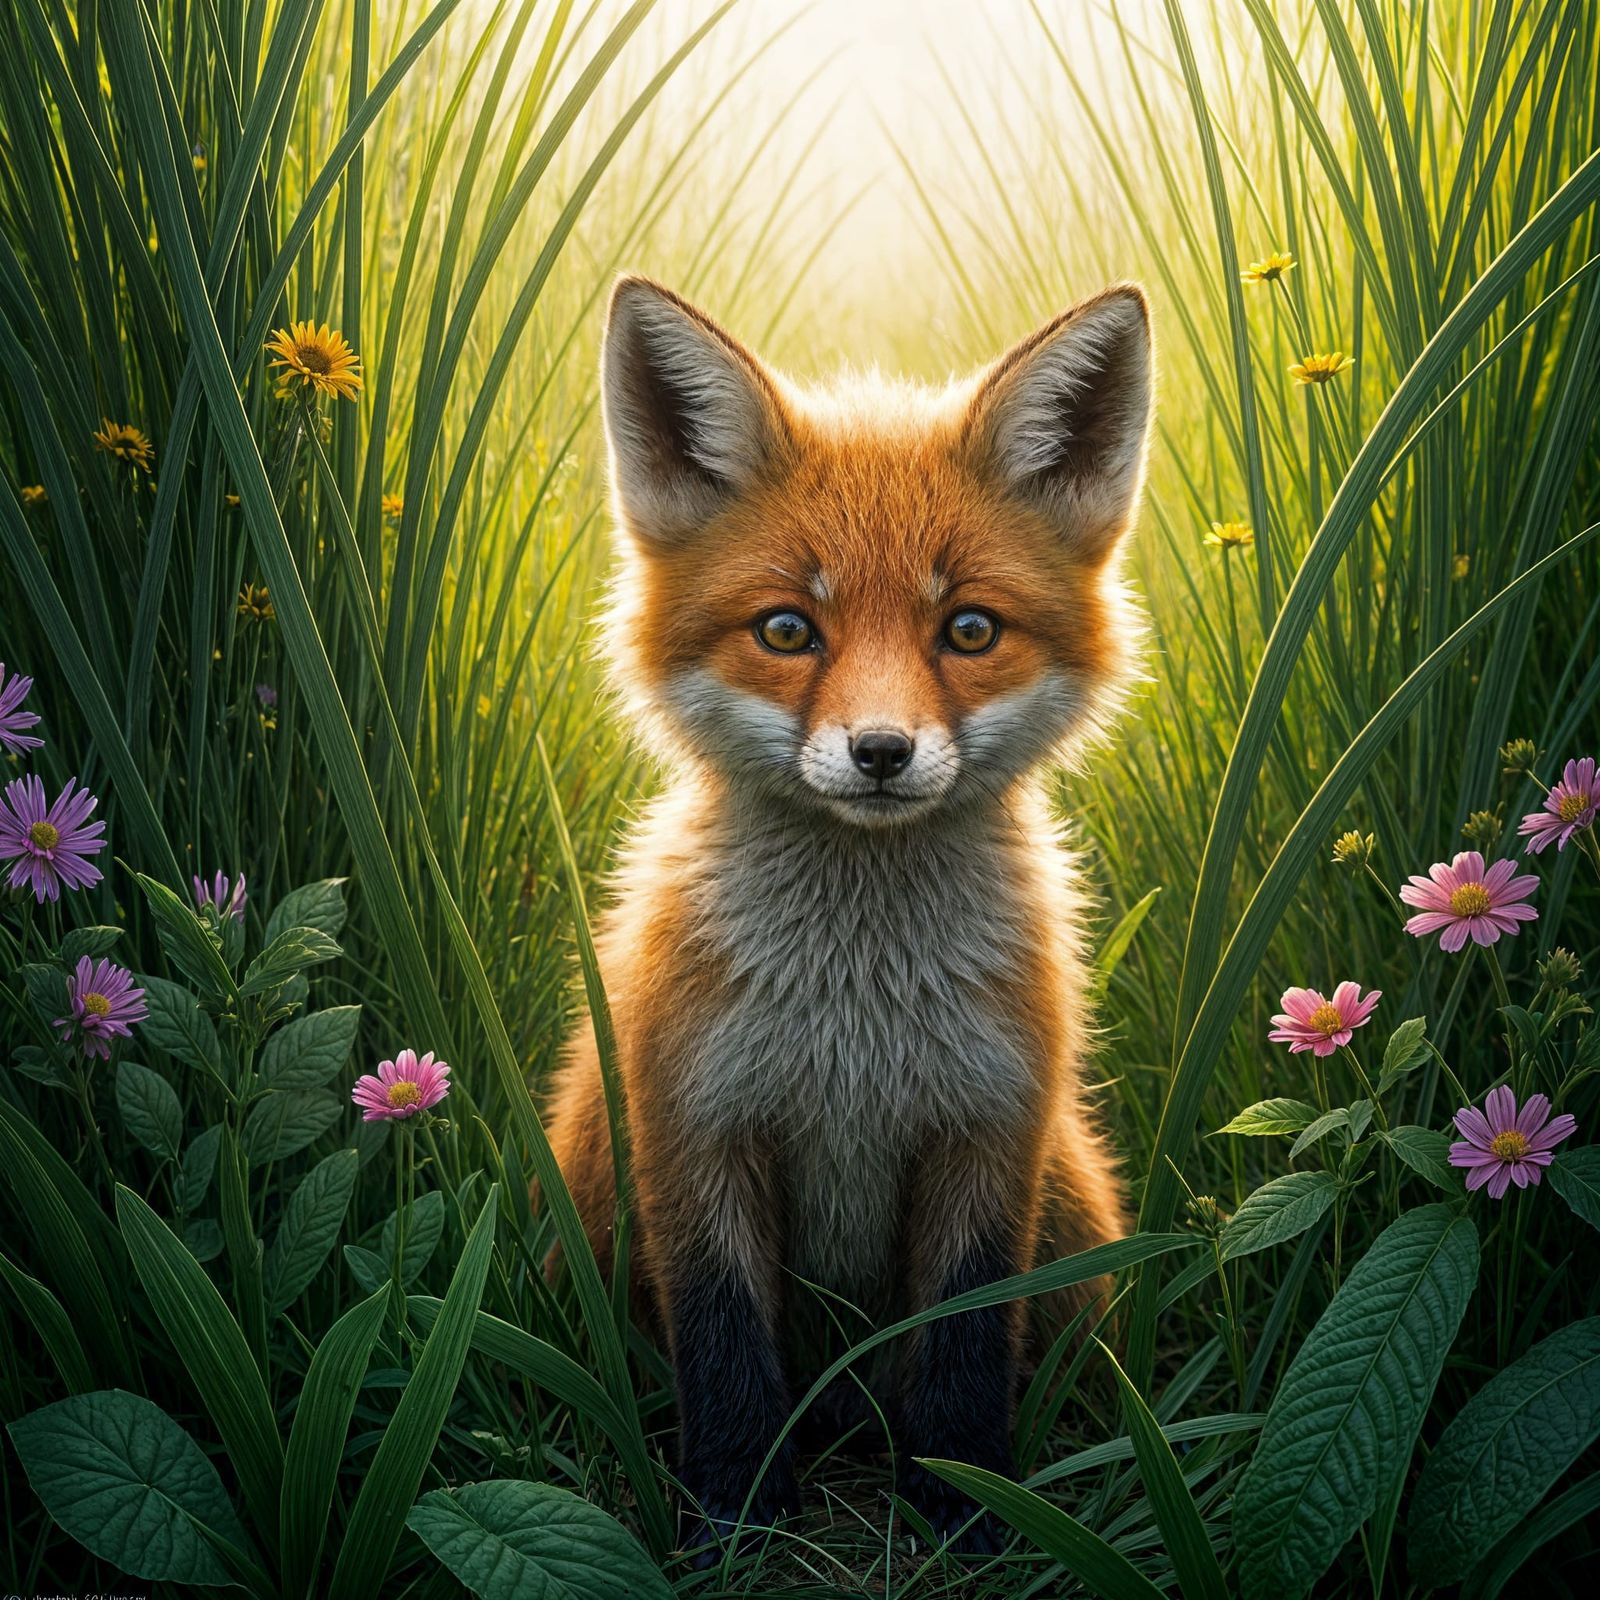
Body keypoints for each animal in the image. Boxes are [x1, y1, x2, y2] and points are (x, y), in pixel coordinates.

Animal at [545, 274, 1153, 1554]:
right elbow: (726, 1355)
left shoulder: (990, 1135)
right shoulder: (695, 1133)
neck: (854, 1028)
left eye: (968, 629)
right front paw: (733, 1518)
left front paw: (965, 1508)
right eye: (788, 629)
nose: (880, 752)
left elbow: (964, 1350)